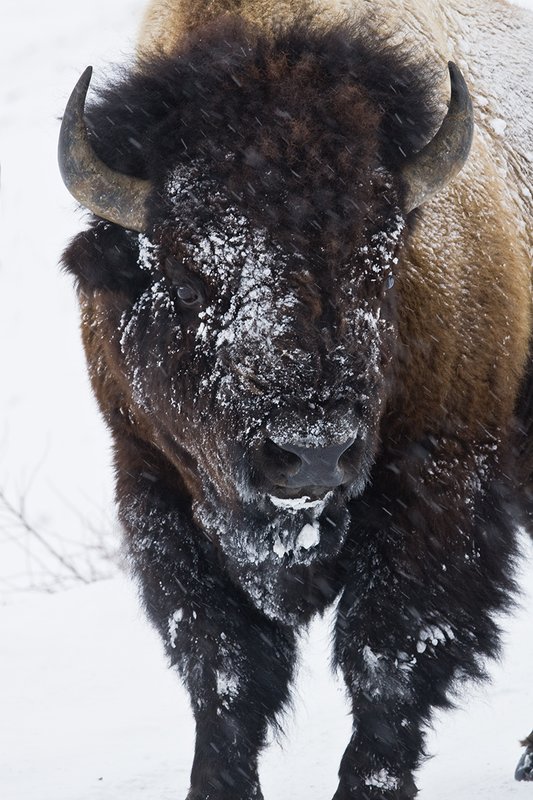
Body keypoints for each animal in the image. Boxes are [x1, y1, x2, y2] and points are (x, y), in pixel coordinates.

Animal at [58, 0, 533, 796]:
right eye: (186, 280)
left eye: (379, 266)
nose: (311, 455)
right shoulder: (157, 486)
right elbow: (224, 667)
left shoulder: (438, 490)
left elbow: (386, 657)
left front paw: (369, 784)